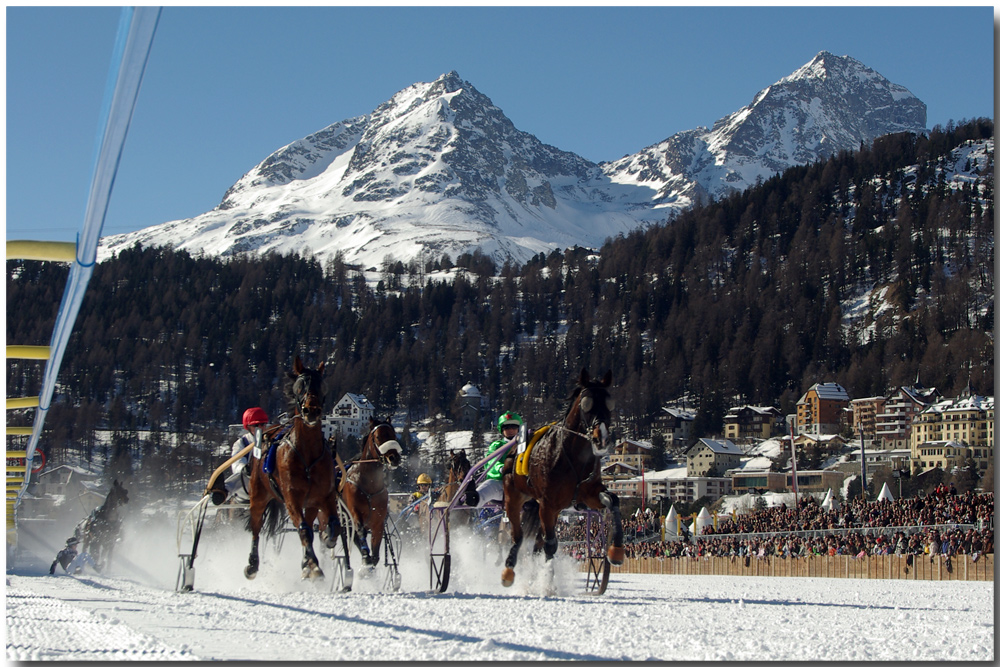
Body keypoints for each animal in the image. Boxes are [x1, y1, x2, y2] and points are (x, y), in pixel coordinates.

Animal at [244, 358, 350, 580]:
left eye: (321, 385)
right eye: (300, 386)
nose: (312, 410)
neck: (307, 454)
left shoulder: (324, 495)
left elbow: (334, 525)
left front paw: (326, 539)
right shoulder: (291, 496)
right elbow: (303, 529)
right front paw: (313, 565)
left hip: (309, 504)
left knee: (309, 522)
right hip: (258, 494)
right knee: (256, 526)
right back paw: (252, 564)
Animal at [340, 420, 402, 568]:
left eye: (394, 435)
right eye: (378, 436)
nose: (394, 458)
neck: (369, 486)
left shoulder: (378, 521)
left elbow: (375, 554)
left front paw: (371, 561)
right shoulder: (354, 513)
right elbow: (360, 530)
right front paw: (365, 558)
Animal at [500, 370, 624, 588]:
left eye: (610, 403)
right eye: (586, 404)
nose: (601, 438)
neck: (572, 456)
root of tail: (513, 450)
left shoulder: (588, 493)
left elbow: (613, 500)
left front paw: (616, 550)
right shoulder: (547, 503)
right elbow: (551, 545)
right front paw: (548, 583)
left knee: (537, 542)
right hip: (513, 496)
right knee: (518, 536)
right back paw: (509, 570)